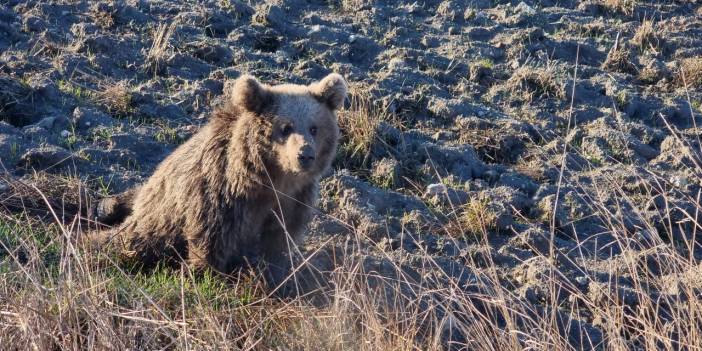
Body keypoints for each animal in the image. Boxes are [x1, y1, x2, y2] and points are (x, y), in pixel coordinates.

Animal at [93, 74, 346, 284]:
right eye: (285, 127)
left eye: (314, 128)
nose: (305, 155)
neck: (273, 180)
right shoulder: (223, 194)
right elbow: (212, 239)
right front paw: (204, 276)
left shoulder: (293, 203)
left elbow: (277, 245)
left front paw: (275, 278)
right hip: (157, 222)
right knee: (128, 240)